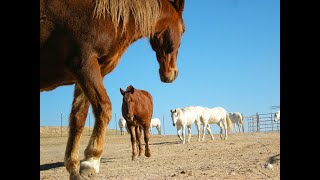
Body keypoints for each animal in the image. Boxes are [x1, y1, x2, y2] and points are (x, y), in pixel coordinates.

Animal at [40, 0, 185, 179]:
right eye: (184, 30)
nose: (171, 74)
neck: (105, 16)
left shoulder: (87, 74)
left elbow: (77, 119)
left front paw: (73, 167)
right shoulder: (84, 64)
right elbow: (104, 108)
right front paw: (91, 160)